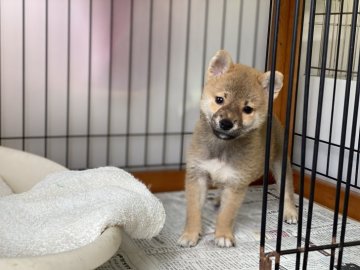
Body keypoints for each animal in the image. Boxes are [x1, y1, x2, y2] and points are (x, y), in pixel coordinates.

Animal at [177, 49, 298, 248]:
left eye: (247, 109)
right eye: (219, 99)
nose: (226, 123)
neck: (222, 145)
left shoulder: (236, 183)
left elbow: (226, 215)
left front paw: (223, 235)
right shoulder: (198, 175)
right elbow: (193, 211)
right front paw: (190, 234)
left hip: (281, 164)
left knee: (287, 191)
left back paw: (290, 212)